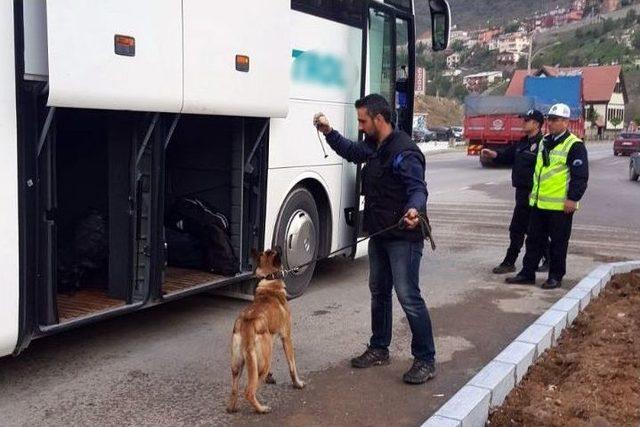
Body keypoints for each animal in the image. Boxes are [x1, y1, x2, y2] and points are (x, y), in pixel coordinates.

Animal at [225, 247, 304, 414]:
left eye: (268, 251)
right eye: (272, 250)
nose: (278, 247)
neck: (269, 281)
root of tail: (247, 323)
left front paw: (271, 377)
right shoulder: (286, 337)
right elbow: (292, 365)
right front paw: (297, 383)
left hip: (237, 365)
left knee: (235, 389)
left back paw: (232, 408)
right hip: (262, 363)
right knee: (249, 391)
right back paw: (261, 408)